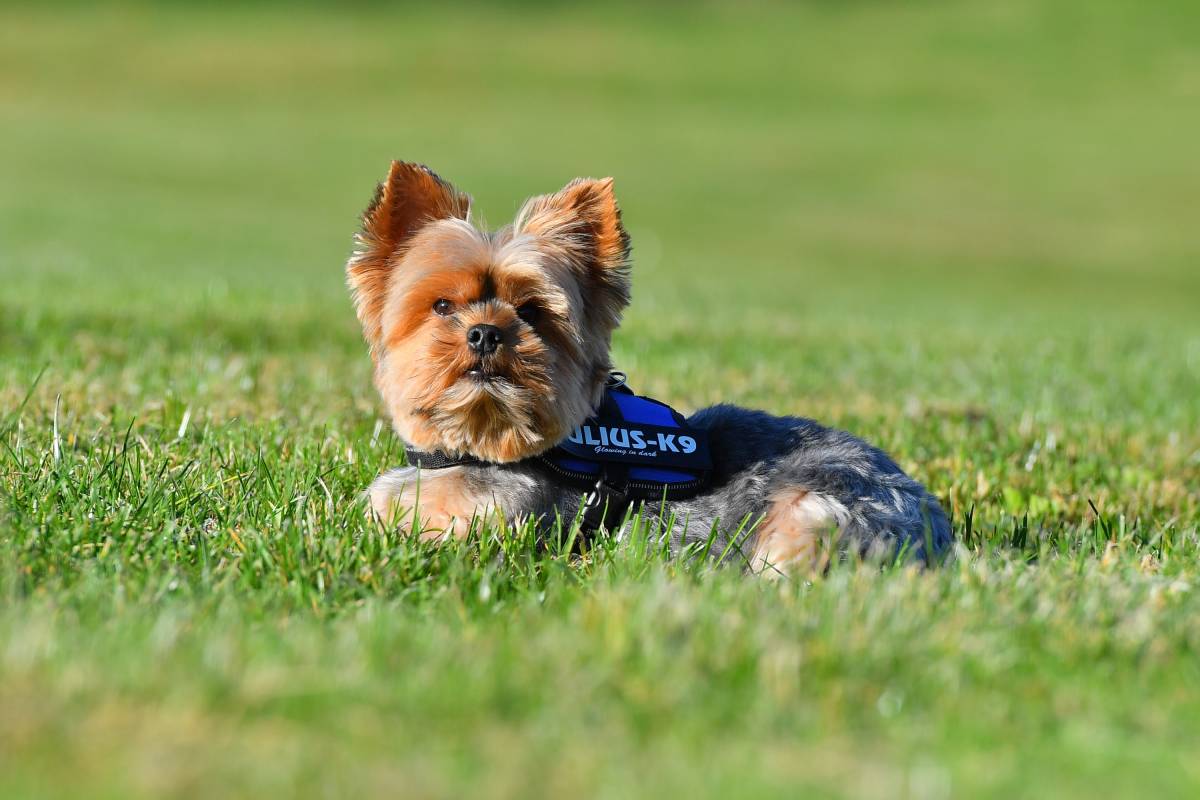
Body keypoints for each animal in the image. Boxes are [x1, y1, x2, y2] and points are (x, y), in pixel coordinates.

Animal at [348, 160, 955, 575]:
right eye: (441, 306)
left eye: (532, 311)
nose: (486, 332)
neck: (476, 449)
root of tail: (936, 525)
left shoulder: (508, 522)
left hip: (813, 516)